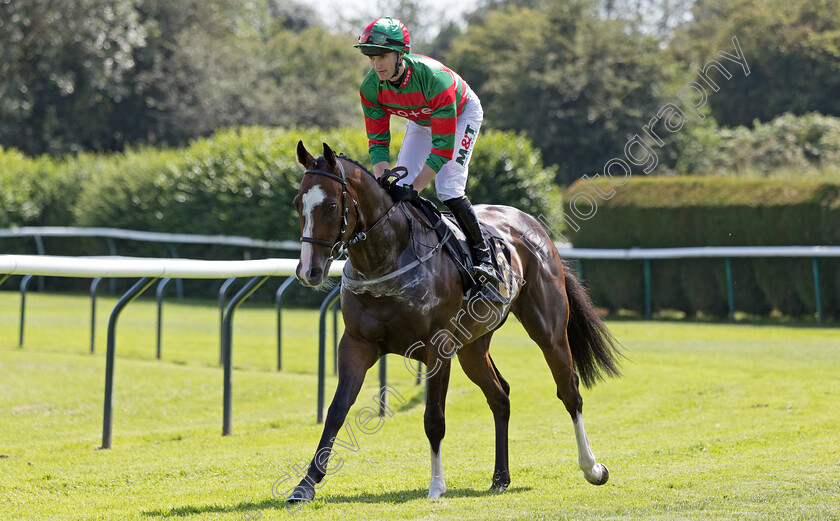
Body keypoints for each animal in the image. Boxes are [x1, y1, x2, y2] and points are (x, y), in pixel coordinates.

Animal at [288, 140, 624, 502]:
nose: (309, 271)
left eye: (331, 205)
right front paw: (305, 484)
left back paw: (592, 467)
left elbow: (434, 418)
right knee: (500, 396)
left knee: (569, 391)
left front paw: (436, 485)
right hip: (472, 348)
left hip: (548, 331)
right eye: (298, 203)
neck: (386, 258)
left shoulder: (437, 348)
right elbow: (337, 411)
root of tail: (535, 228)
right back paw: (500, 476)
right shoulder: (356, 344)